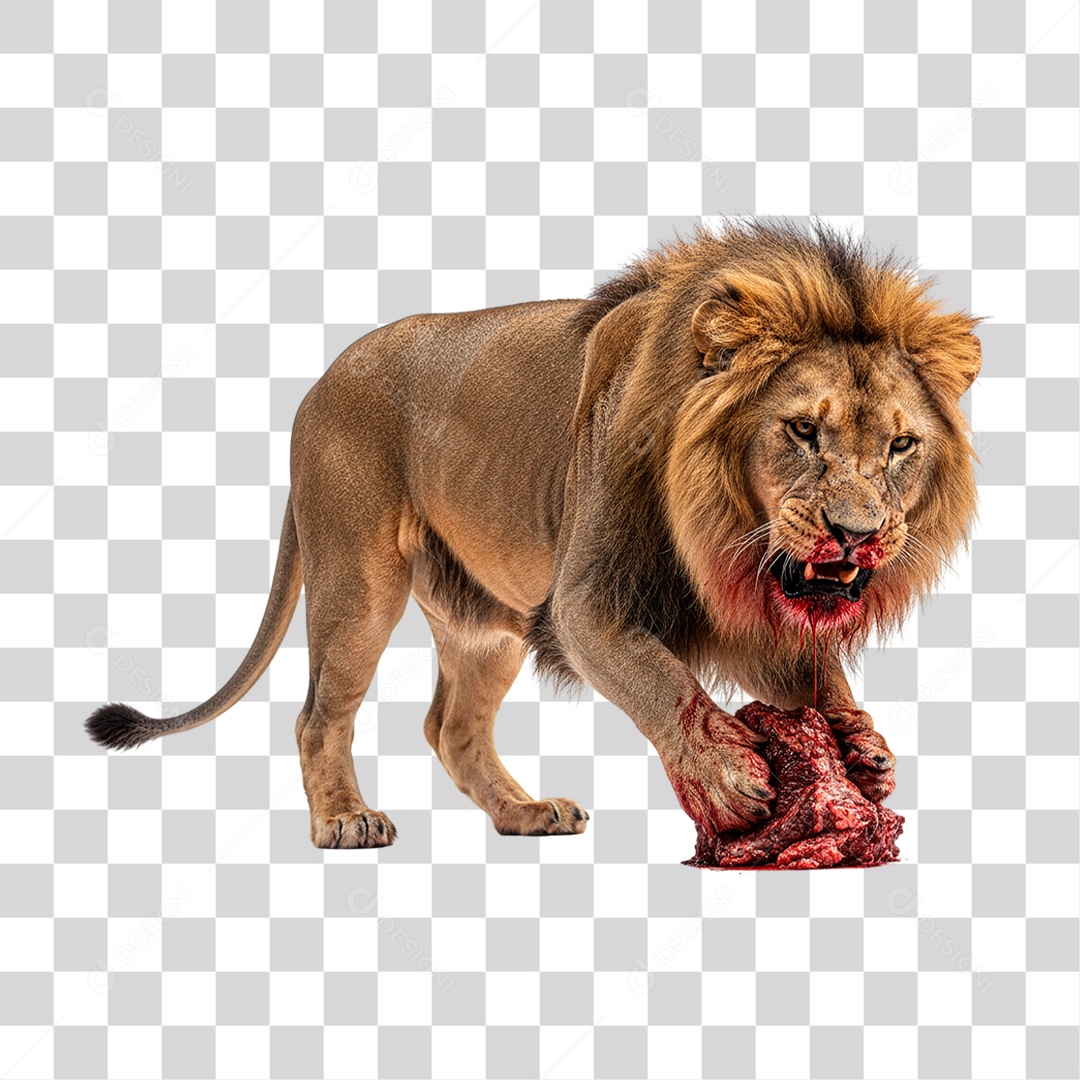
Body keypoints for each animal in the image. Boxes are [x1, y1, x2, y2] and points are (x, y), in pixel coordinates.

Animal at [86, 220, 982, 849]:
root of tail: (319, 381)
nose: (857, 535)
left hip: (488, 624)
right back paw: (345, 820)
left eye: (901, 446)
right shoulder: (586, 605)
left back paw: (524, 813)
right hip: (359, 581)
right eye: (801, 430)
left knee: (451, 728)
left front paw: (863, 749)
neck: (726, 533)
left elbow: (820, 674)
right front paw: (729, 775)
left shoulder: (758, 611)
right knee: (318, 716)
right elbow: (663, 681)